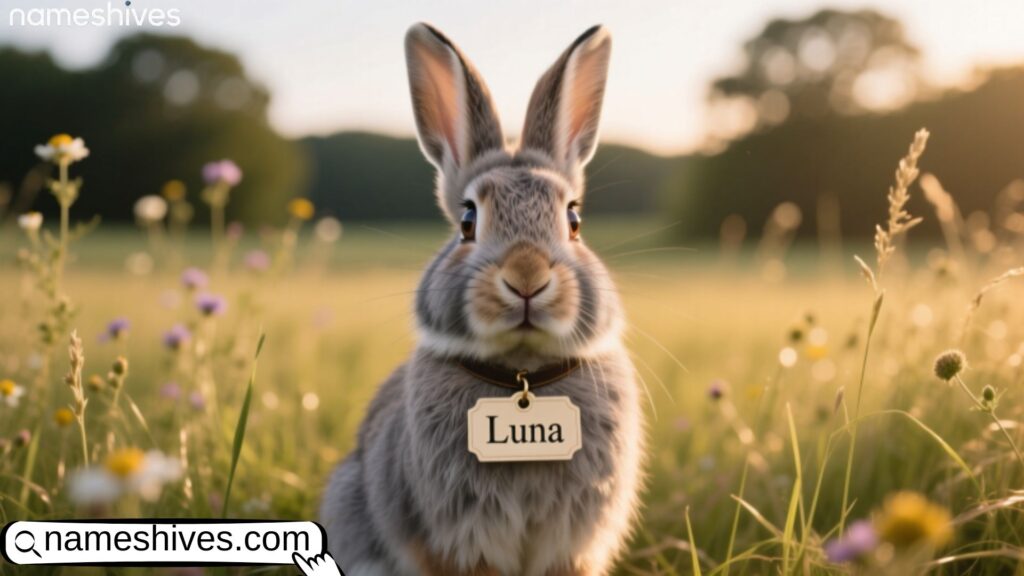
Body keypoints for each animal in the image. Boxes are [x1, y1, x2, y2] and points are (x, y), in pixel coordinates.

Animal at [320, 22, 645, 576]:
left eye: (574, 220)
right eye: (468, 220)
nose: (526, 276)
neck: (521, 374)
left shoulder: (573, 547)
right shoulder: (453, 542)